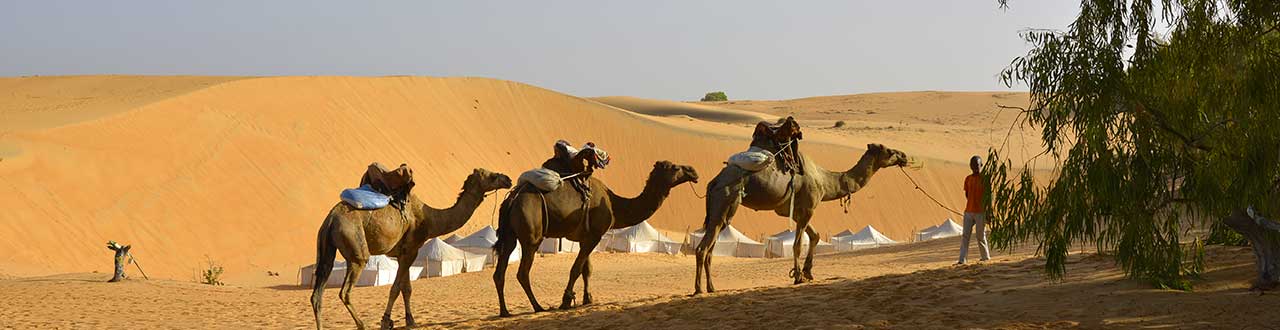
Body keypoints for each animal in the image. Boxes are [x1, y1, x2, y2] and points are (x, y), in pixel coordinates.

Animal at [309, 168, 509, 327]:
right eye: (490, 175)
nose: (507, 179)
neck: (429, 219)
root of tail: (330, 219)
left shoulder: (403, 253)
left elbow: (406, 288)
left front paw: (410, 320)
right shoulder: (412, 249)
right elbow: (396, 288)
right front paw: (386, 321)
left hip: (326, 249)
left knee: (317, 294)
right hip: (356, 249)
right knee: (345, 291)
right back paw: (362, 325)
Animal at [491, 161, 701, 315]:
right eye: (675, 167)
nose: (693, 171)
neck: (614, 204)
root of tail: (512, 199)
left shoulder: (586, 236)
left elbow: (587, 269)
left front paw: (587, 299)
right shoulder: (594, 237)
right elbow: (576, 269)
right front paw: (566, 301)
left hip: (509, 236)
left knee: (499, 272)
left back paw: (504, 311)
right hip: (532, 236)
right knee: (522, 272)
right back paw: (538, 307)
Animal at [696, 143, 906, 292]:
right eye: (889, 151)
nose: (903, 156)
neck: (825, 181)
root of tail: (714, 181)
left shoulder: (799, 212)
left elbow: (815, 236)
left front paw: (808, 273)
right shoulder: (808, 208)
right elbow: (797, 244)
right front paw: (797, 276)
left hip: (721, 210)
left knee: (710, 247)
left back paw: (711, 287)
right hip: (725, 201)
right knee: (703, 247)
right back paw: (699, 289)